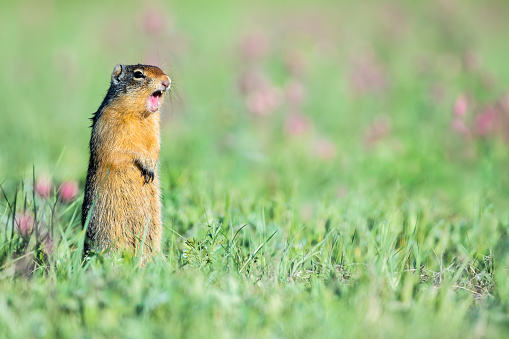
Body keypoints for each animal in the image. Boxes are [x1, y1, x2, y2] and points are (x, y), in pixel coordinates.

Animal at [82, 63, 171, 258]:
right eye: (138, 74)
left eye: (161, 69)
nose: (167, 81)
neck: (139, 115)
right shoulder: (109, 122)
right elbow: (121, 149)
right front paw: (146, 164)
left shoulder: (155, 128)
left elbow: (155, 145)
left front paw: (151, 165)